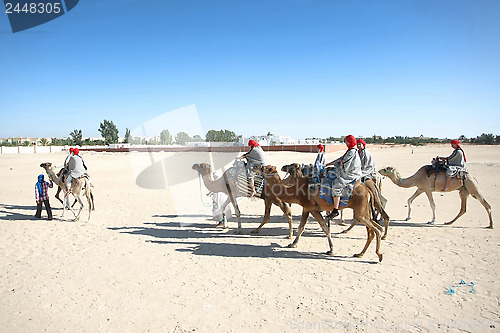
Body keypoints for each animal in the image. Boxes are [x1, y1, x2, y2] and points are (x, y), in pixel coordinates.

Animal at [256, 164, 384, 262]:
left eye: (265, 168)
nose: (255, 166)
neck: (296, 191)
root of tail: (368, 190)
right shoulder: (306, 208)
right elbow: (301, 227)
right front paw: (293, 243)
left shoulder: (312, 208)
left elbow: (325, 228)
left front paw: (331, 250)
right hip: (365, 211)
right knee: (372, 231)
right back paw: (360, 253)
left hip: (361, 213)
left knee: (375, 230)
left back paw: (379, 255)